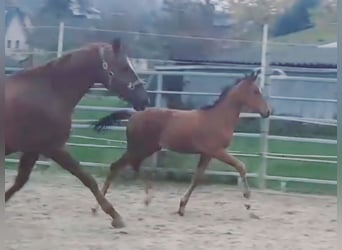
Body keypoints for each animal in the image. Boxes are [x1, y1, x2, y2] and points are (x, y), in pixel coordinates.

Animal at [5, 38, 150, 228]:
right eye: (125, 67)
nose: (145, 100)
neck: (50, 92)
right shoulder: (55, 148)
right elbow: (88, 179)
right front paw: (116, 216)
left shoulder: (33, 149)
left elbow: (19, 182)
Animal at [92, 72, 272, 219]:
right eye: (255, 91)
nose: (268, 111)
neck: (218, 118)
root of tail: (134, 114)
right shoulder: (216, 151)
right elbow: (240, 166)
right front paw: (248, 201)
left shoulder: (206, 154)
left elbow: (197, 177)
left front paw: (181, 207)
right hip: (139, 148)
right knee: (117, 166)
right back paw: (98, 207)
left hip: (147, 148)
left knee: (132, 166)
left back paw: (146, 199)